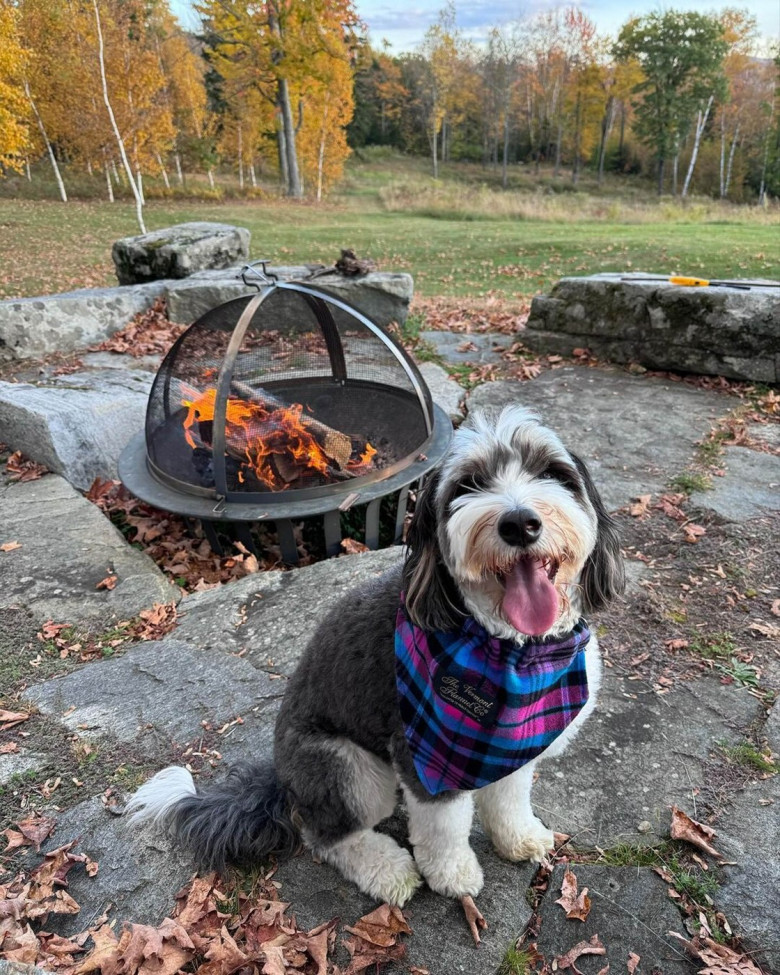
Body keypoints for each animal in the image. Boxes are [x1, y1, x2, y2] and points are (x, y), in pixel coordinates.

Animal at [129, 408, 628, 920]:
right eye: (468, 485)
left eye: (551, 473)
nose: (520, 523)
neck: (513, 648)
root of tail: (282, 780)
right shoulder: (423, 756)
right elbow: (445, 827)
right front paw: (453, 876)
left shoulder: (513, 746)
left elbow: (509, 796)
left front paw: (519, 838)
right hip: (347, 767)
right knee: (325, 835)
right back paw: (387, 869)